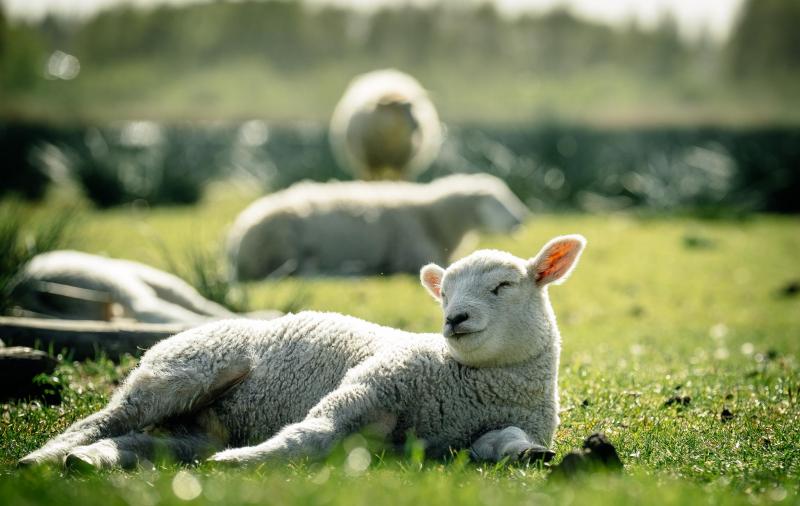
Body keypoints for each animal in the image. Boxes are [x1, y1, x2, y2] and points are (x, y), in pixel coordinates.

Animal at [227, 172, 532, 278]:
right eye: (498, 201)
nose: (523, 218)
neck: (432, 216)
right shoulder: (413, 253)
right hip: (282, 243)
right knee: (296, 272)